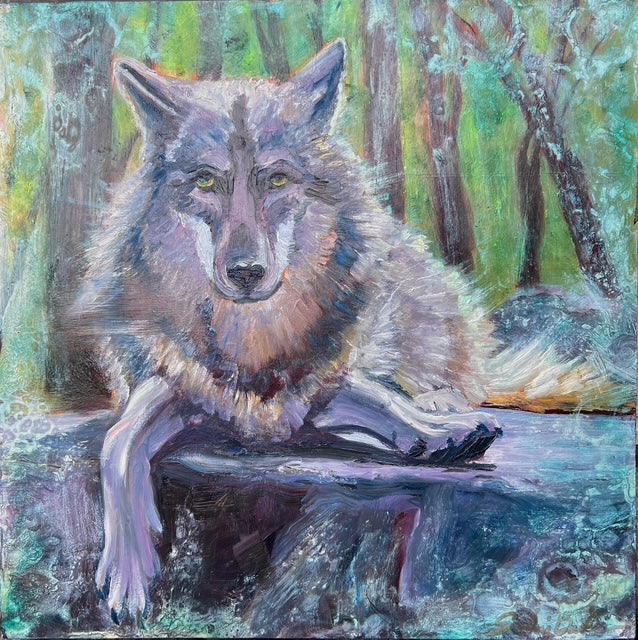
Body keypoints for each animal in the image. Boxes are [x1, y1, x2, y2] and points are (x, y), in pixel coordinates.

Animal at [73, 39, 523, 622]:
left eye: (277, 180)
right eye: (205, 181)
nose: (245, 272)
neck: (254, 338)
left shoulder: (316, 380)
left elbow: (380, 398)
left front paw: (435, 431)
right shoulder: (176, 382)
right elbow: (119, 441)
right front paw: (127, 569)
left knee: (447, 371)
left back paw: (441, 400)